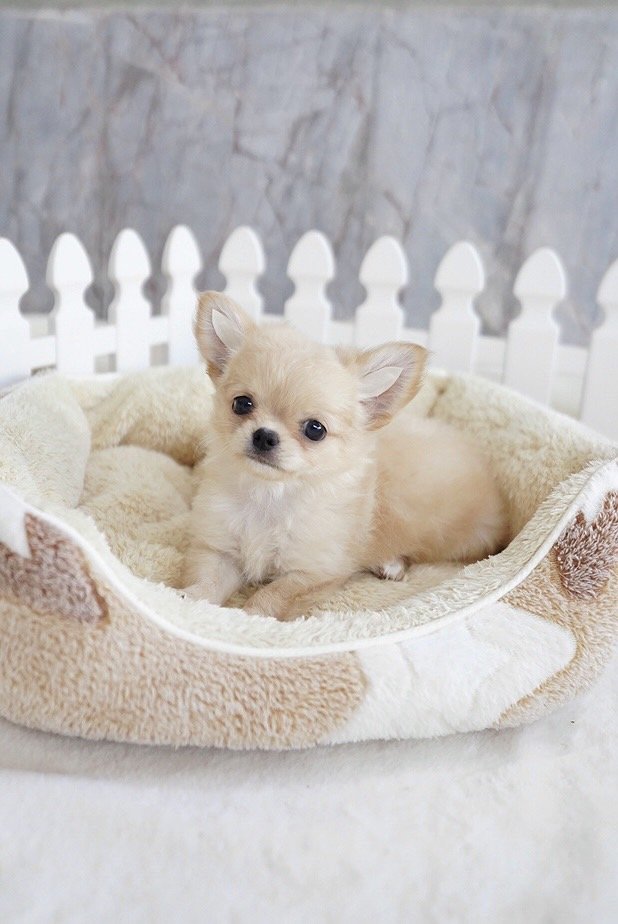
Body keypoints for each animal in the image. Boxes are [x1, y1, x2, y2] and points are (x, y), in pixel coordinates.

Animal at [184, 291, 508, 620]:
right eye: (241, 404)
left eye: (315, 430)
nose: (264, 435)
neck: (269, 495)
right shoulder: (220, 548)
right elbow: (209, 581)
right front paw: (191, 600)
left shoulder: (312, 573)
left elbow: (271, 597)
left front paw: (252, 618)